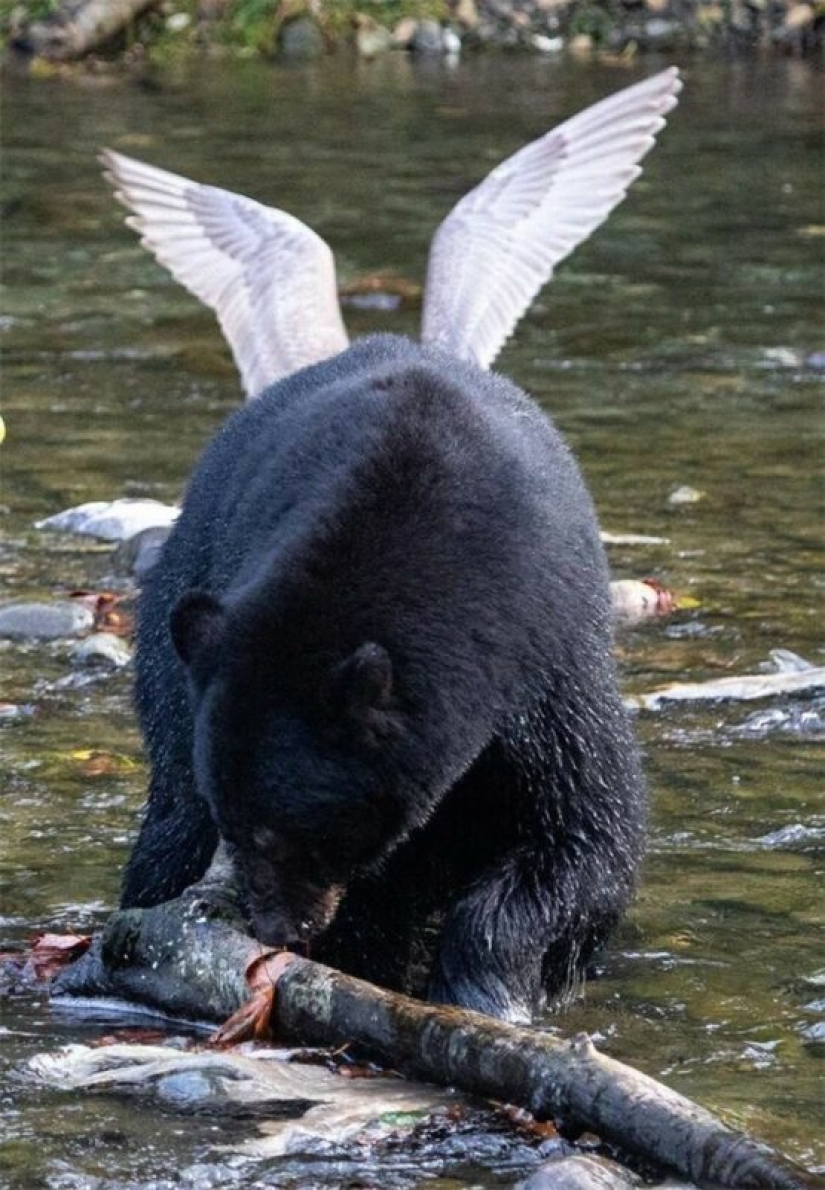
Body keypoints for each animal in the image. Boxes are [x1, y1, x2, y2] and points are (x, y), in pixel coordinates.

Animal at [122, 332, 644, 1025]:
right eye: (236, 828)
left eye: (283, 834)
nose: (278, 930)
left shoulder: (551, 664)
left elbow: (583, 836)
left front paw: (487, 992)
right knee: (173, 819)